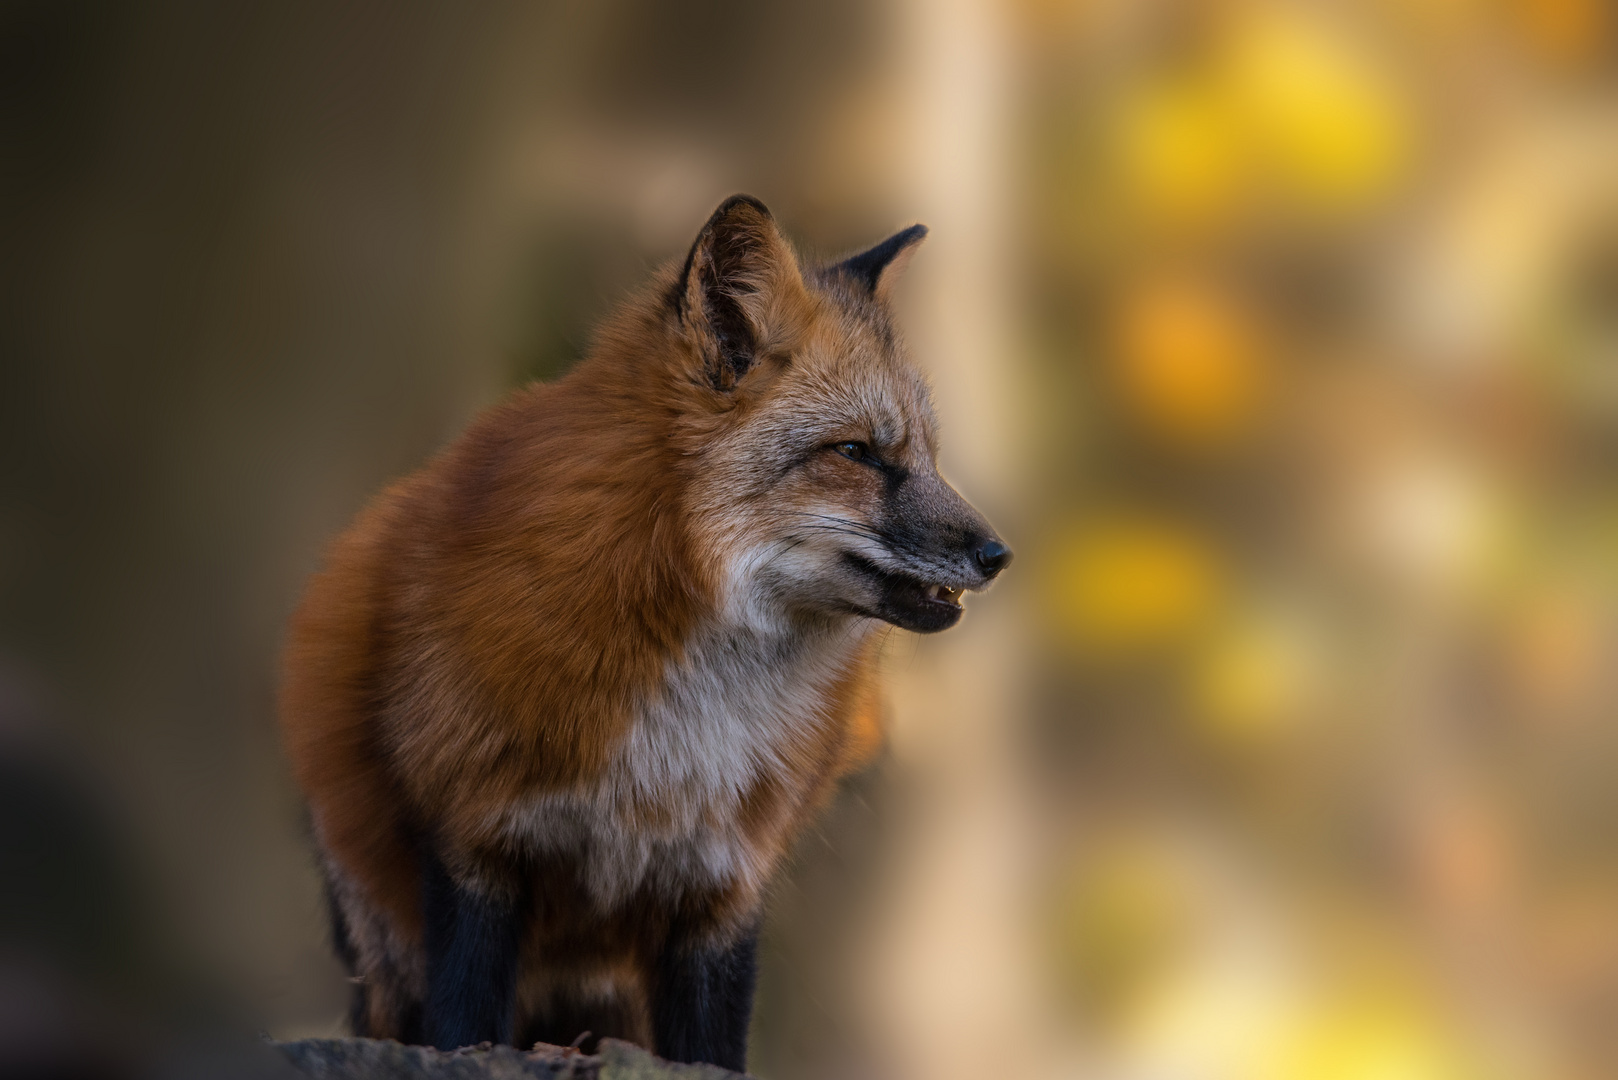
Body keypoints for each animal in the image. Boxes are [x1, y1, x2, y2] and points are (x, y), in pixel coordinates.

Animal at [279, 196, 1009, 1075]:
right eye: (857, 452)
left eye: (931, 456)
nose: (999, 554)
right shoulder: (471, 838)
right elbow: (465, 1024)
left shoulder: (722, 881)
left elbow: (713, 1047)